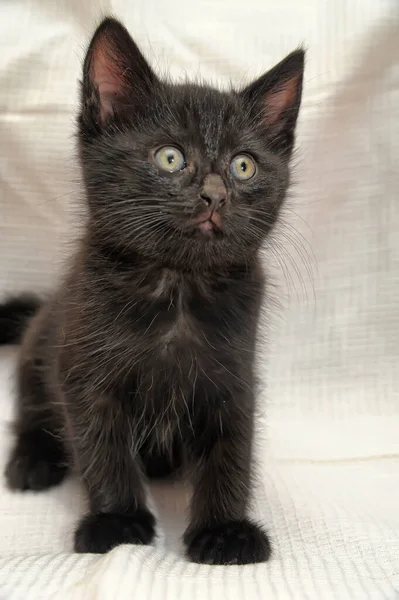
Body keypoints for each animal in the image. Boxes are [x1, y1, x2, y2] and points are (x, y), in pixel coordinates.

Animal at [1, 17, 304, 564]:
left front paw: (225, 530)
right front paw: (116, 522)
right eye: (170, 157)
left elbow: (232, 448)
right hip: (43, 340)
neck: (177, 284)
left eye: (243, 166)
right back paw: (33, 461)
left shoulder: (233, 375)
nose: (215, 195)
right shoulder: (84, 372)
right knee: (33, 409)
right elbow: (101, 448)